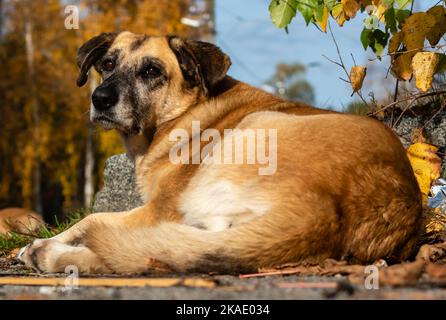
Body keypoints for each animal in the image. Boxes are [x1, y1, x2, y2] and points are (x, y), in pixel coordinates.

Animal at [17, 31, 422, 274]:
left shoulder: (161, 208)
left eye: (151, 71)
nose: (100, 99)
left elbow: (90, 220)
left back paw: (51, 255)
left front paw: (47, 242)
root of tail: (330, 212)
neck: (180, 116)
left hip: (248, 136)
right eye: (107, 64)